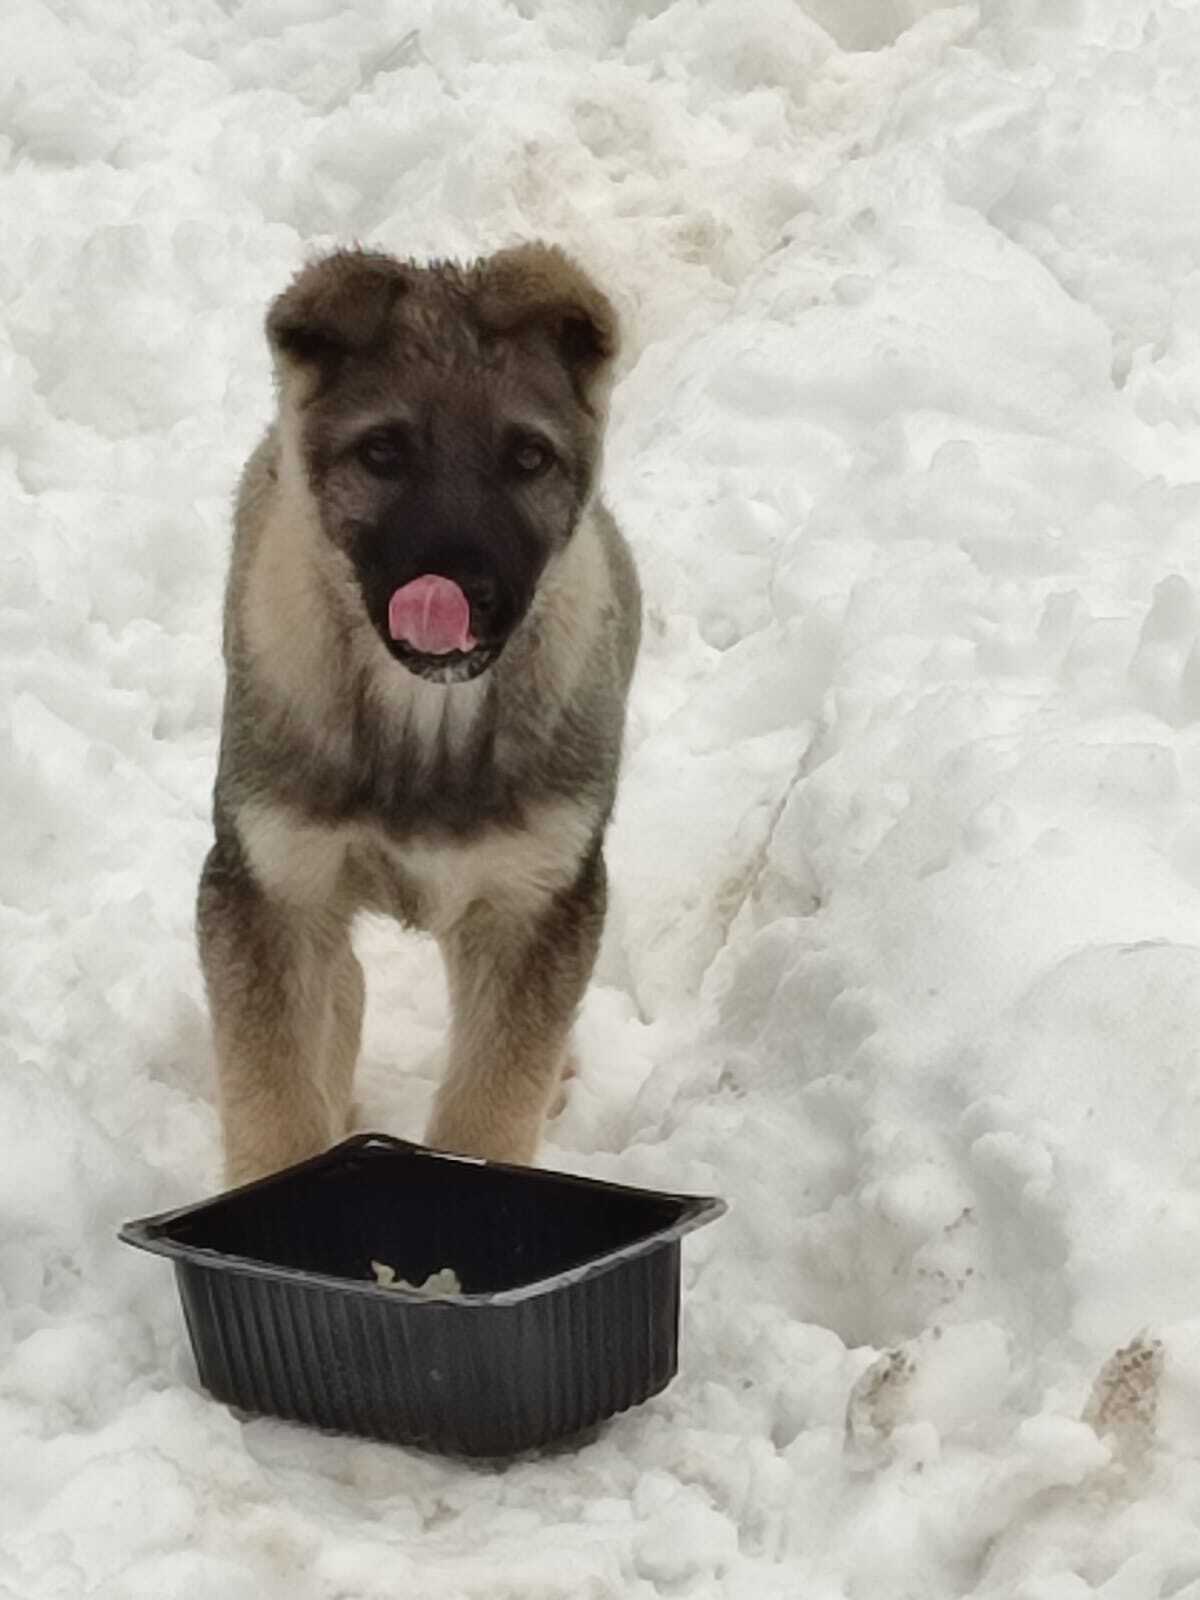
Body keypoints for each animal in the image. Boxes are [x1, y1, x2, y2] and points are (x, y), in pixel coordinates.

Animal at [197, 243, 643, 1184]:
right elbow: (272, 1100)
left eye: (528, 459)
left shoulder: (531, 902)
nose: (458, 589)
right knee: (343, 991)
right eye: (383, 453)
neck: (425, 725)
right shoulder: (268, 889)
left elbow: (492, 1102)